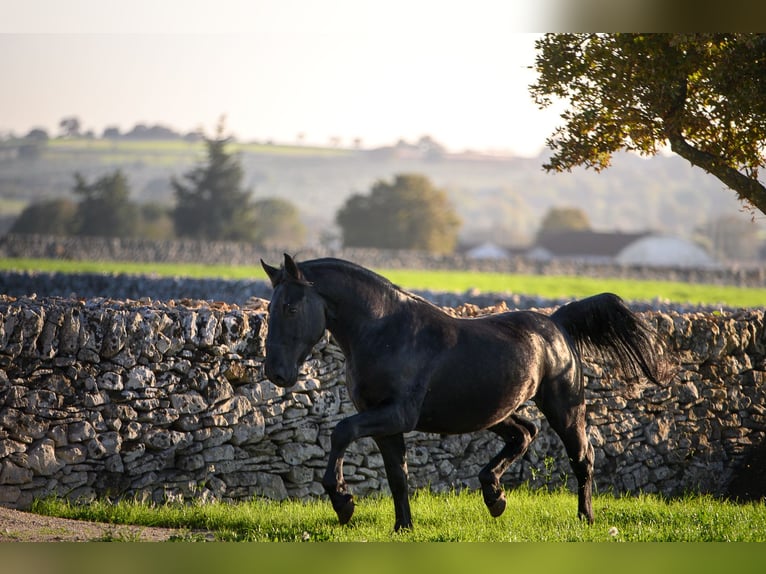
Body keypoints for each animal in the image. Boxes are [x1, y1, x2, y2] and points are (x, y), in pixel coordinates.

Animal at [260, 254, 666, 531]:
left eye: (290, 307)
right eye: (271, 308)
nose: (276, 373)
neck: (385, 332)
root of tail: (557, 323)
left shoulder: (395, 415)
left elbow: (341, 431)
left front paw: (343, 501)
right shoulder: (387, 424)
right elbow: (397, 476)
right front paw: (403, 527)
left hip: (564, 408)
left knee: (582, 456)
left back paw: (585, 517)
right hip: (493, 412)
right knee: (525, 433)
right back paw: (494, 495)